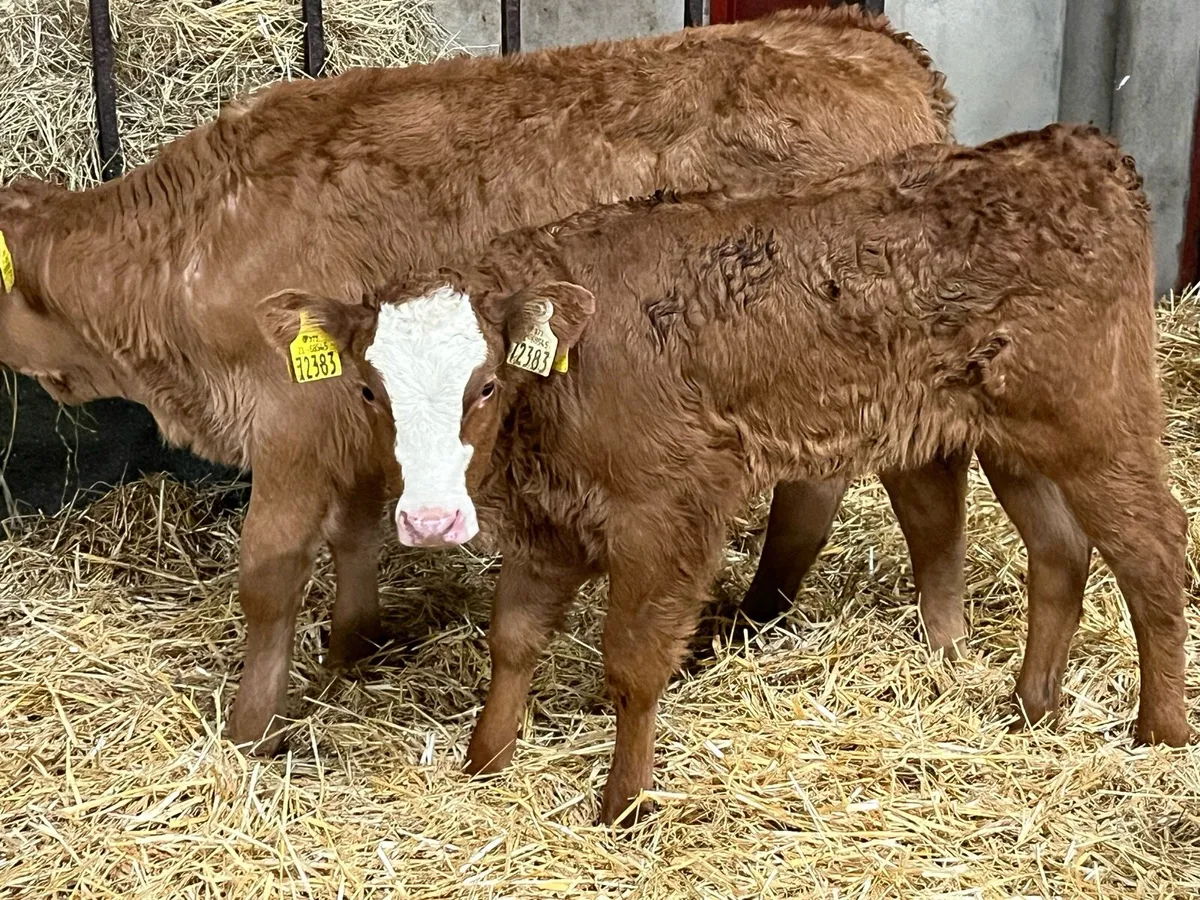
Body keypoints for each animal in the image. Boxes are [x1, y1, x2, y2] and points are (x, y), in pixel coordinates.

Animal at [0, 7, 1046, 752]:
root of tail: (866, 41)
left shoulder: (293, 420)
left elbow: (269, 574)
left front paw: (248, 729)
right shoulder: (363, 416)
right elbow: (356, 537)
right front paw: (350, 651)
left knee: (864, 486)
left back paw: (793, 620)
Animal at [261, 124, 1191, 824]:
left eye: (486, 384)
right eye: (369, 388)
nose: (430, 521)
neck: (564, 375)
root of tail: (1073, 149)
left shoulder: (669, 505)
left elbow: (633, 662)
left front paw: (623, 804)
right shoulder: (552, 519)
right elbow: (514, 638)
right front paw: (483, 763)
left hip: (1099, 423)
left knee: (1153, 549)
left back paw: (1162, 732)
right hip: (1016, 437)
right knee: (1061, 552)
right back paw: (1032, 706)